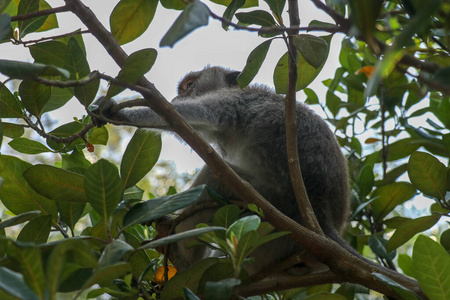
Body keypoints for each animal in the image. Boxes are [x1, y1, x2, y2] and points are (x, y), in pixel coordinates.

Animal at [92, 65, 352, 276]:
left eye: (189, 85)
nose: (177, 95)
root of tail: (324, 223)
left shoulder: (233, 101)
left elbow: (187, 114)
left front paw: (118, 112)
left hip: (271, 210)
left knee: (214, 178)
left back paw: (181, 254)